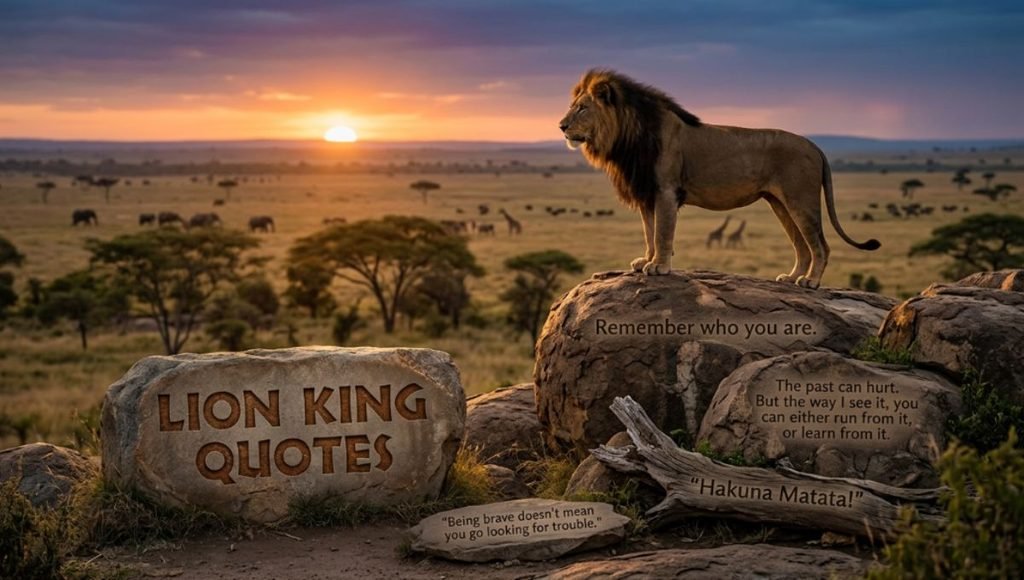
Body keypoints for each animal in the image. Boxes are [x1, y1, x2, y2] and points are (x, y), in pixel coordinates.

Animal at [558, 69, 880, 289]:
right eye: (573, 106)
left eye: (582, 107)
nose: (561, 126)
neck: (627, 137)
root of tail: (814, 145)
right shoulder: (647, 193)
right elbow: (649, 232)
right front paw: (645, 261)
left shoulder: (665, 190)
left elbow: (662, 233)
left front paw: (659, 266)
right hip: (780, 203)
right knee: (801, 245)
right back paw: (791, 278)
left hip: (801, 200)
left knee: (820, 245)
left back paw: (810, 282)